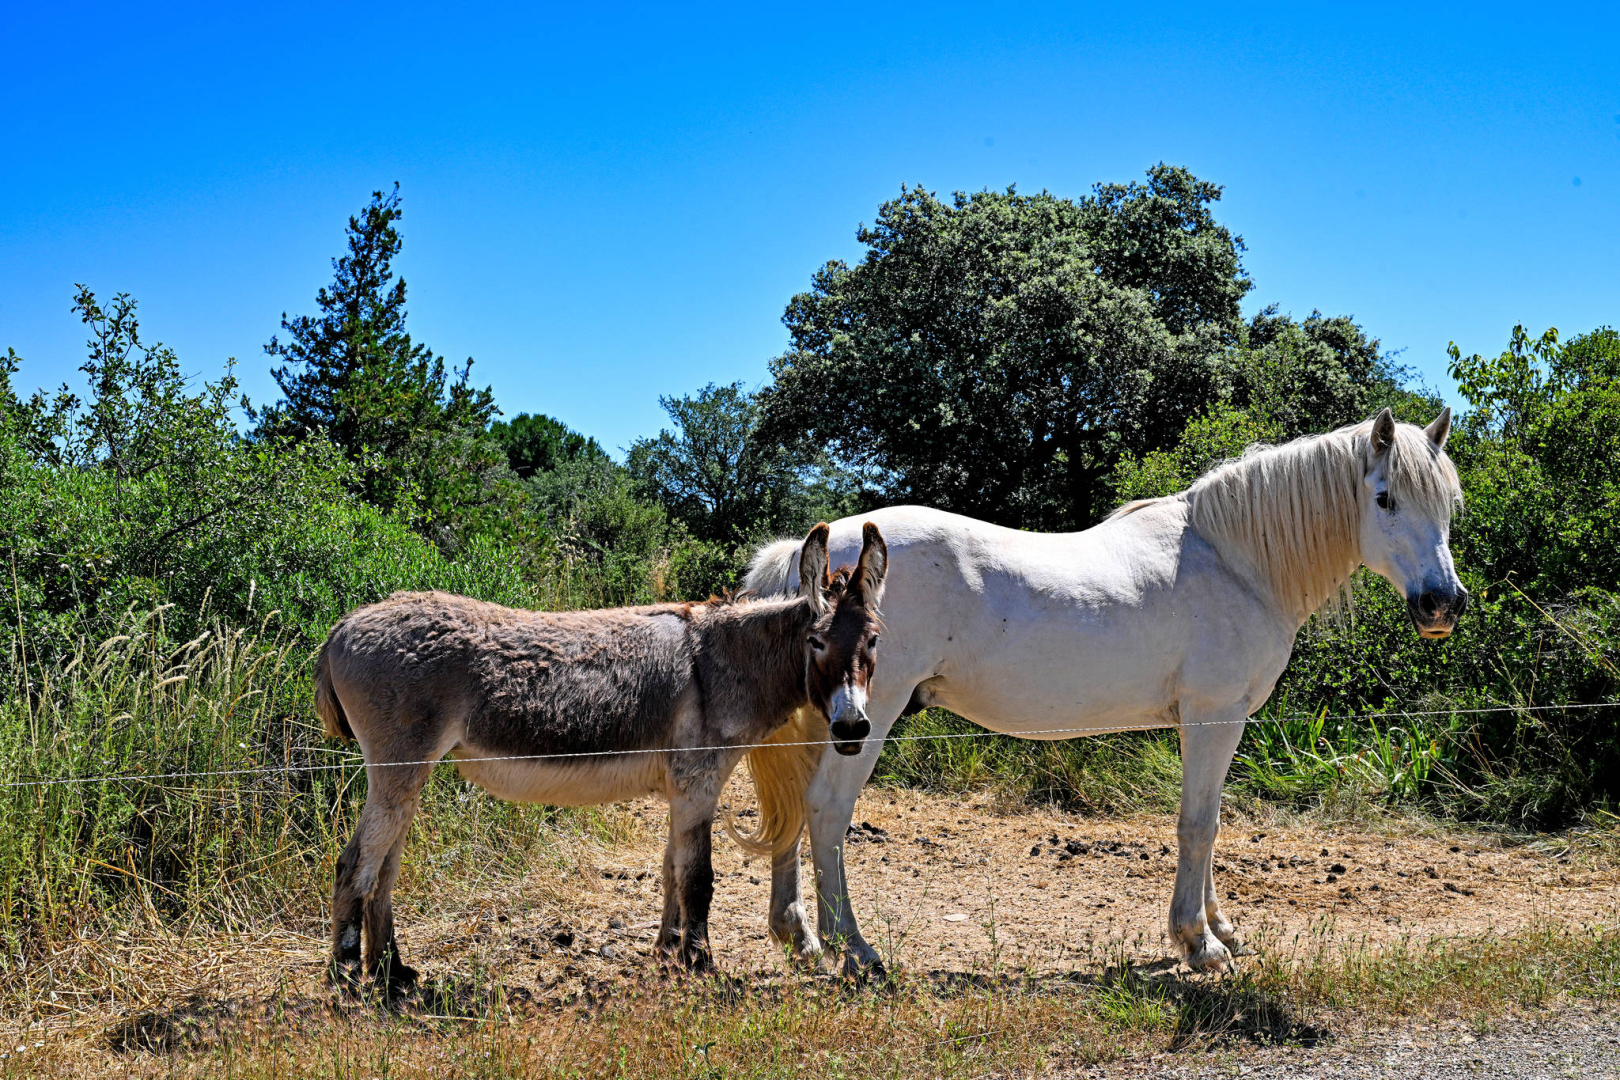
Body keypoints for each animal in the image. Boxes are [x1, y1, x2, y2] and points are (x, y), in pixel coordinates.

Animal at [745, 409, 1470, 977]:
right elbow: (1198, 824)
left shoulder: (1214, 723)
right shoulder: (1214, 717)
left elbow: (1208, 821)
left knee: (794, 807)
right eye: (1385, 498)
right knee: (827, 811)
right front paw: (1198, 944)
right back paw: (856, 949)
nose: (1444, 604)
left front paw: (1220, 927)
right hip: (868, 718)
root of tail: (819, 549)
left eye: (1447, 504)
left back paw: (798, 935)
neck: (1236, 561)